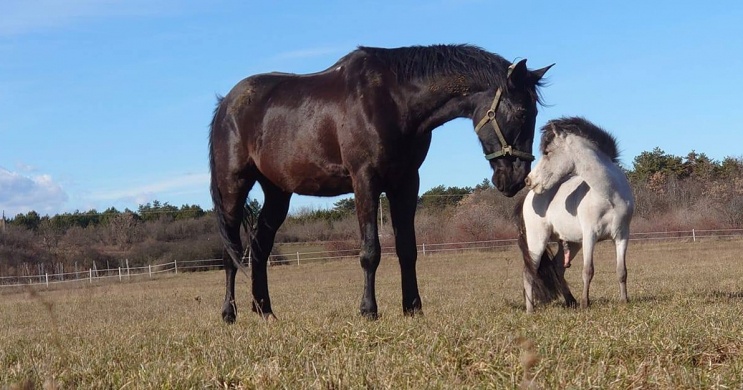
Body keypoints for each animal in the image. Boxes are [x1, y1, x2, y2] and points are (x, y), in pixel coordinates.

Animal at [209, 44, 552, 322]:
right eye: (522, 112)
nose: (516, 179)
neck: (393, 100)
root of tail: (225, 104)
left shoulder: (406, 183)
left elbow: (407, 249)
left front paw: (413, 307)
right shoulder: (366, 180)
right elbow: (370, 250)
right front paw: (368, 310)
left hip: (278, 192)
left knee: (259, 248)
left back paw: (265, 311)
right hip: (233, 187)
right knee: (231, 251)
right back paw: (229, 313)